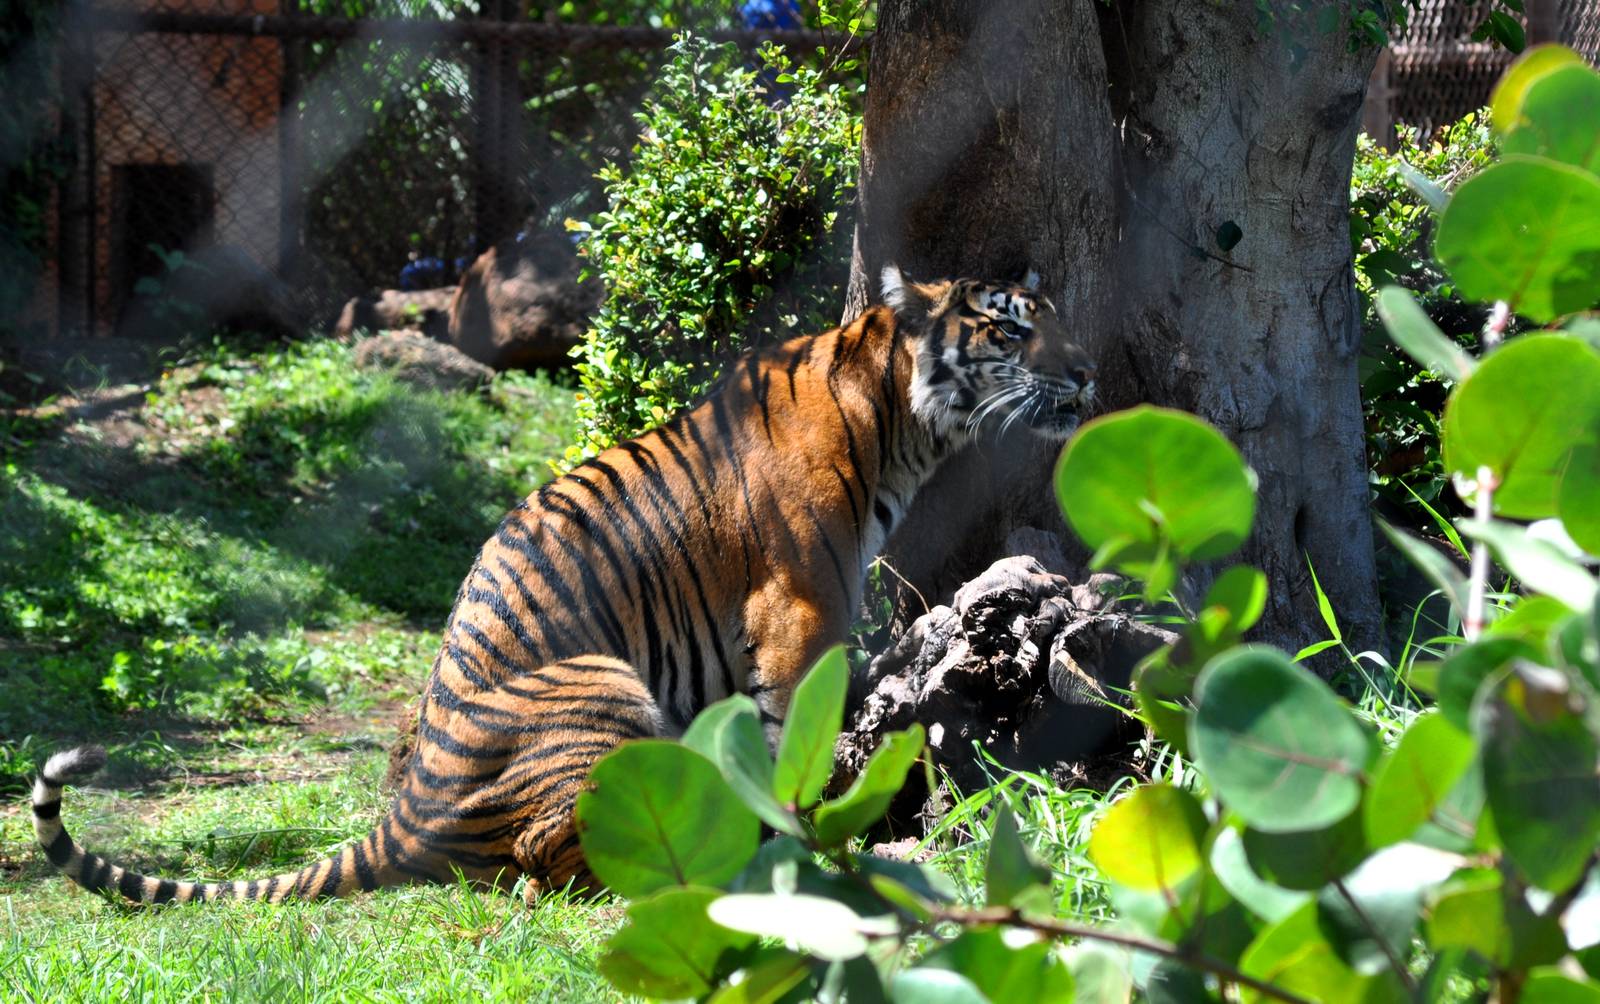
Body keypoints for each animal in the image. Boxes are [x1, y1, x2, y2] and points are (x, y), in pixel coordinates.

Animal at [33, 265, 1097, 904]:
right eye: (1007, 332)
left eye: (1052, 324)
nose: (1088, 372)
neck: (900, 422)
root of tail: (403, 812)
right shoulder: (799, 615)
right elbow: (794, 746)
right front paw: (814, 846)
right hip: (606, 683)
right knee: (539, 859)